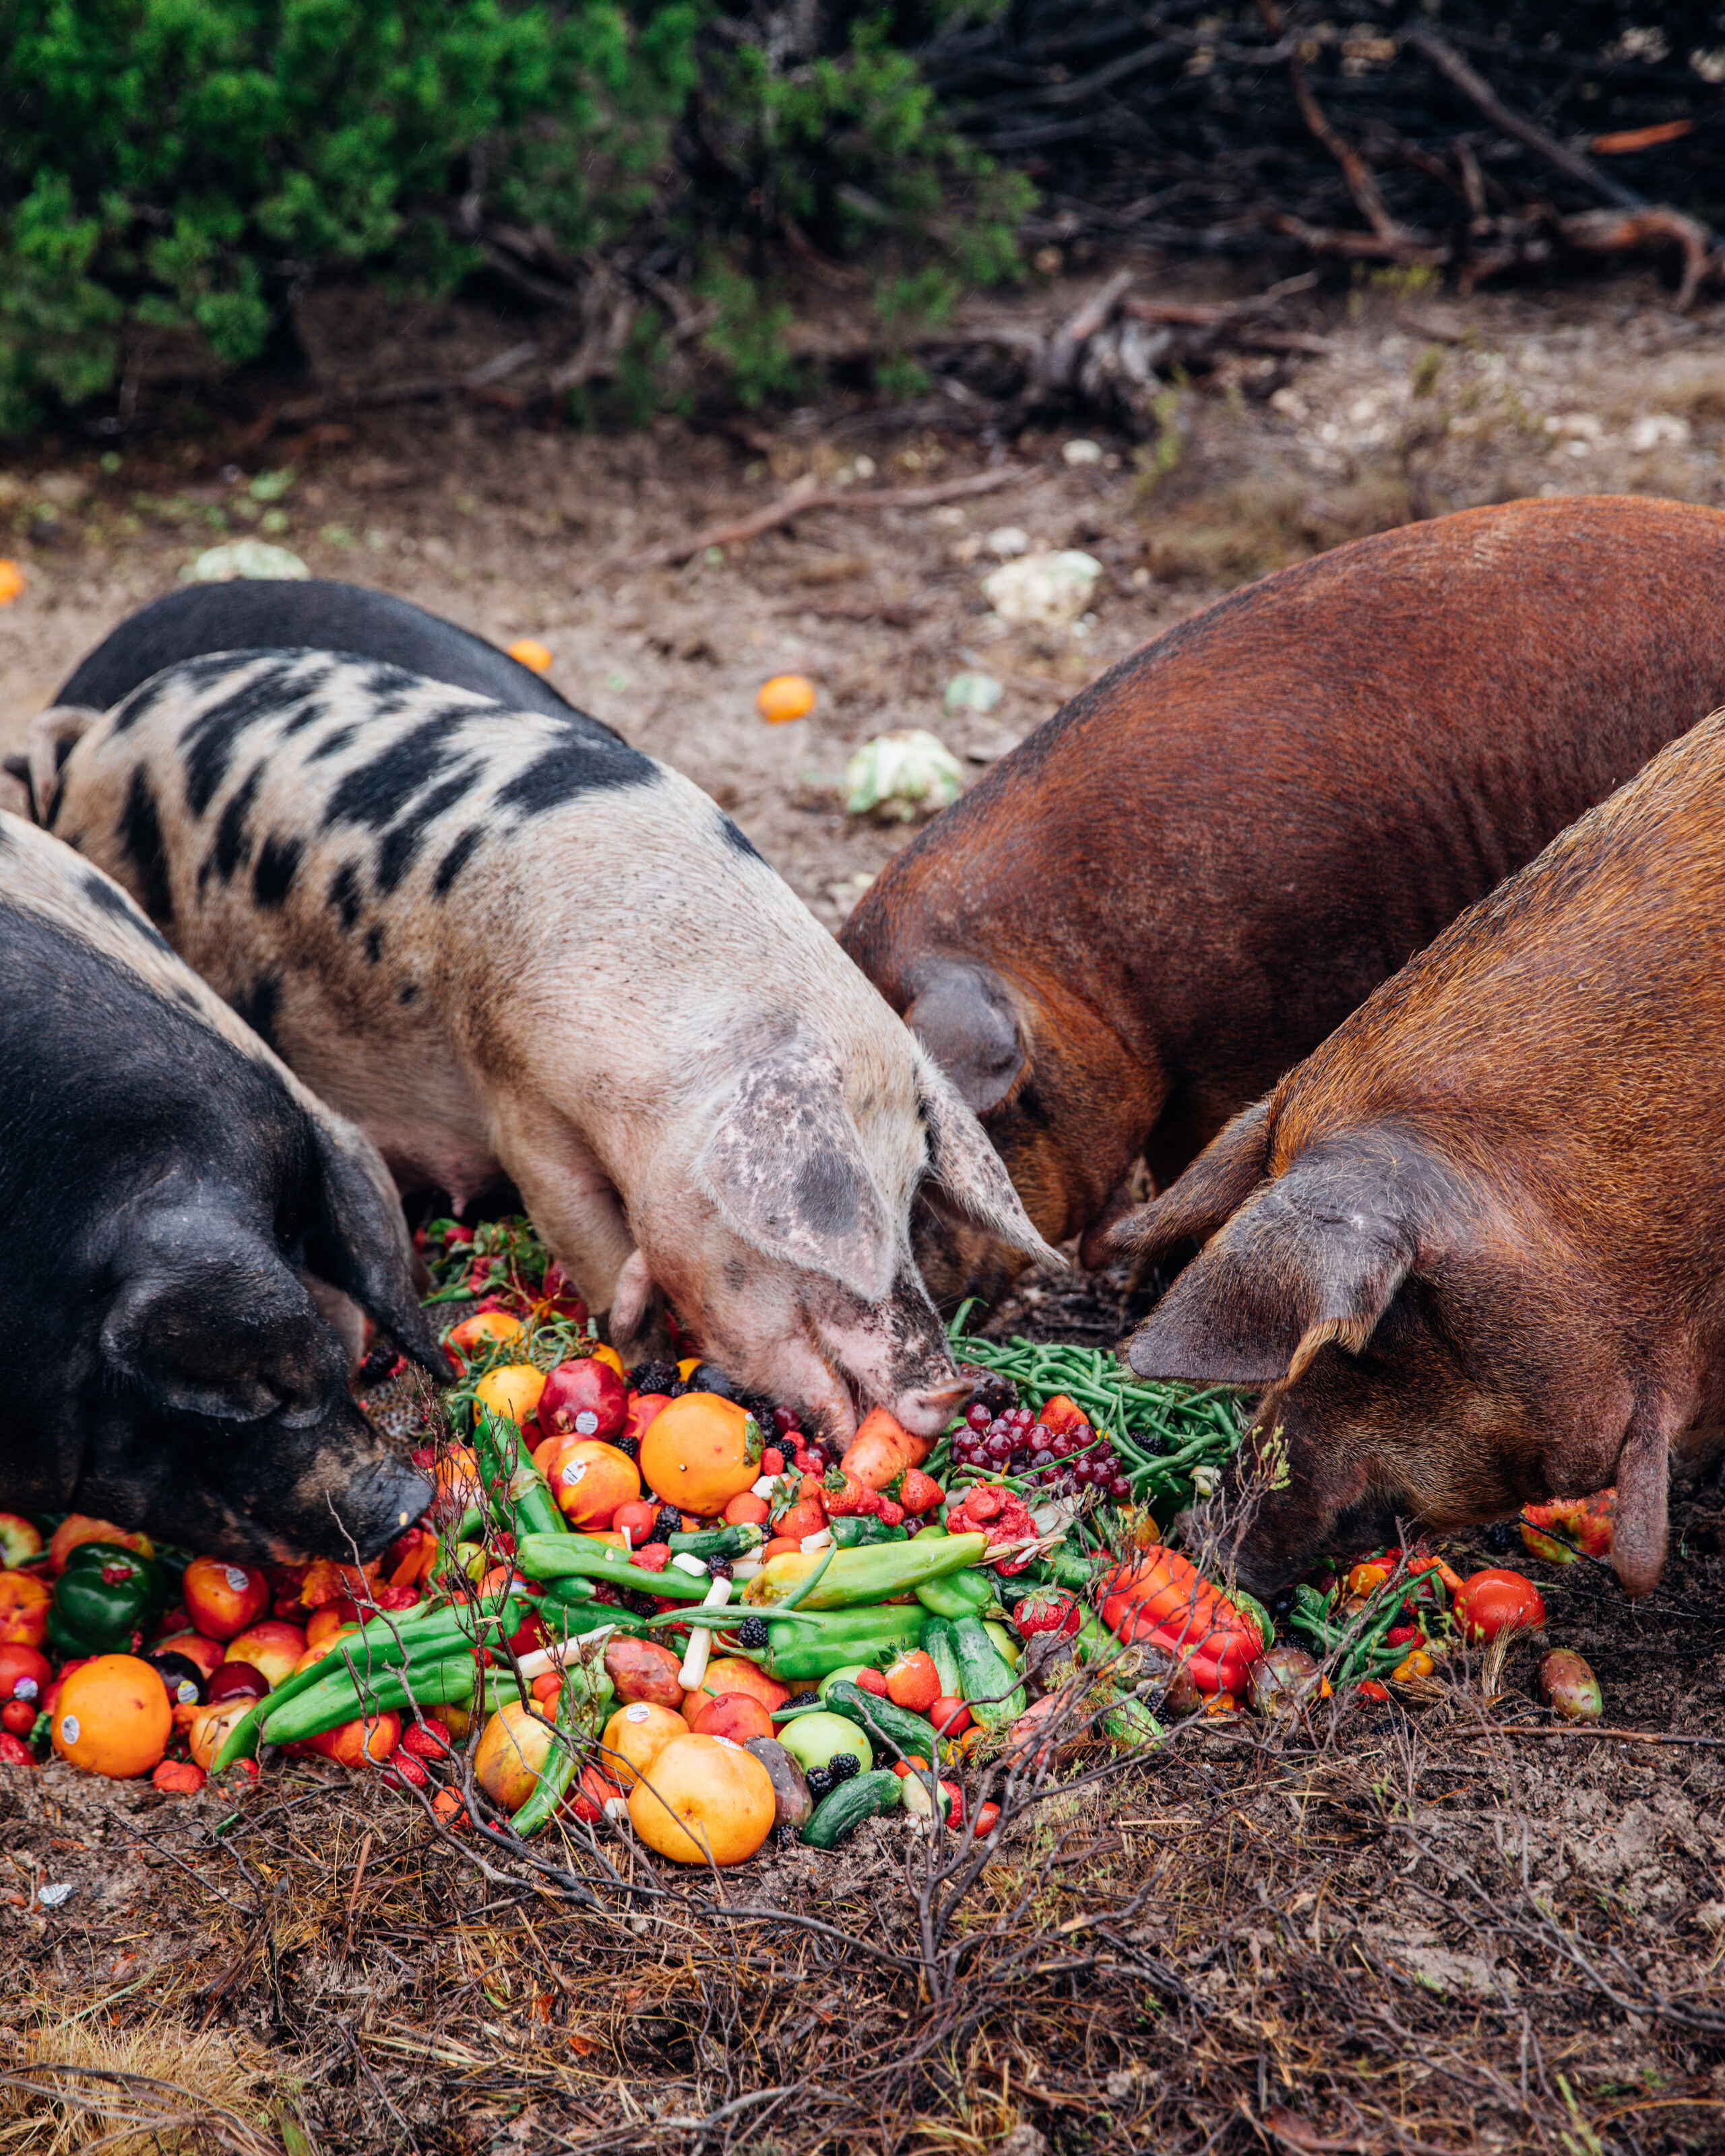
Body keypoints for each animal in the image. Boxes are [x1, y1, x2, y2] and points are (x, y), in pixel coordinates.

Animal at [31, 642, 1052, 1441]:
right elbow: (586, 1234)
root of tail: (101, 732)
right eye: (823, 1232)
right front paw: (639, 1343)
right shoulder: (519, 1092)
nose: (951, 1390)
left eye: (911, 1195)